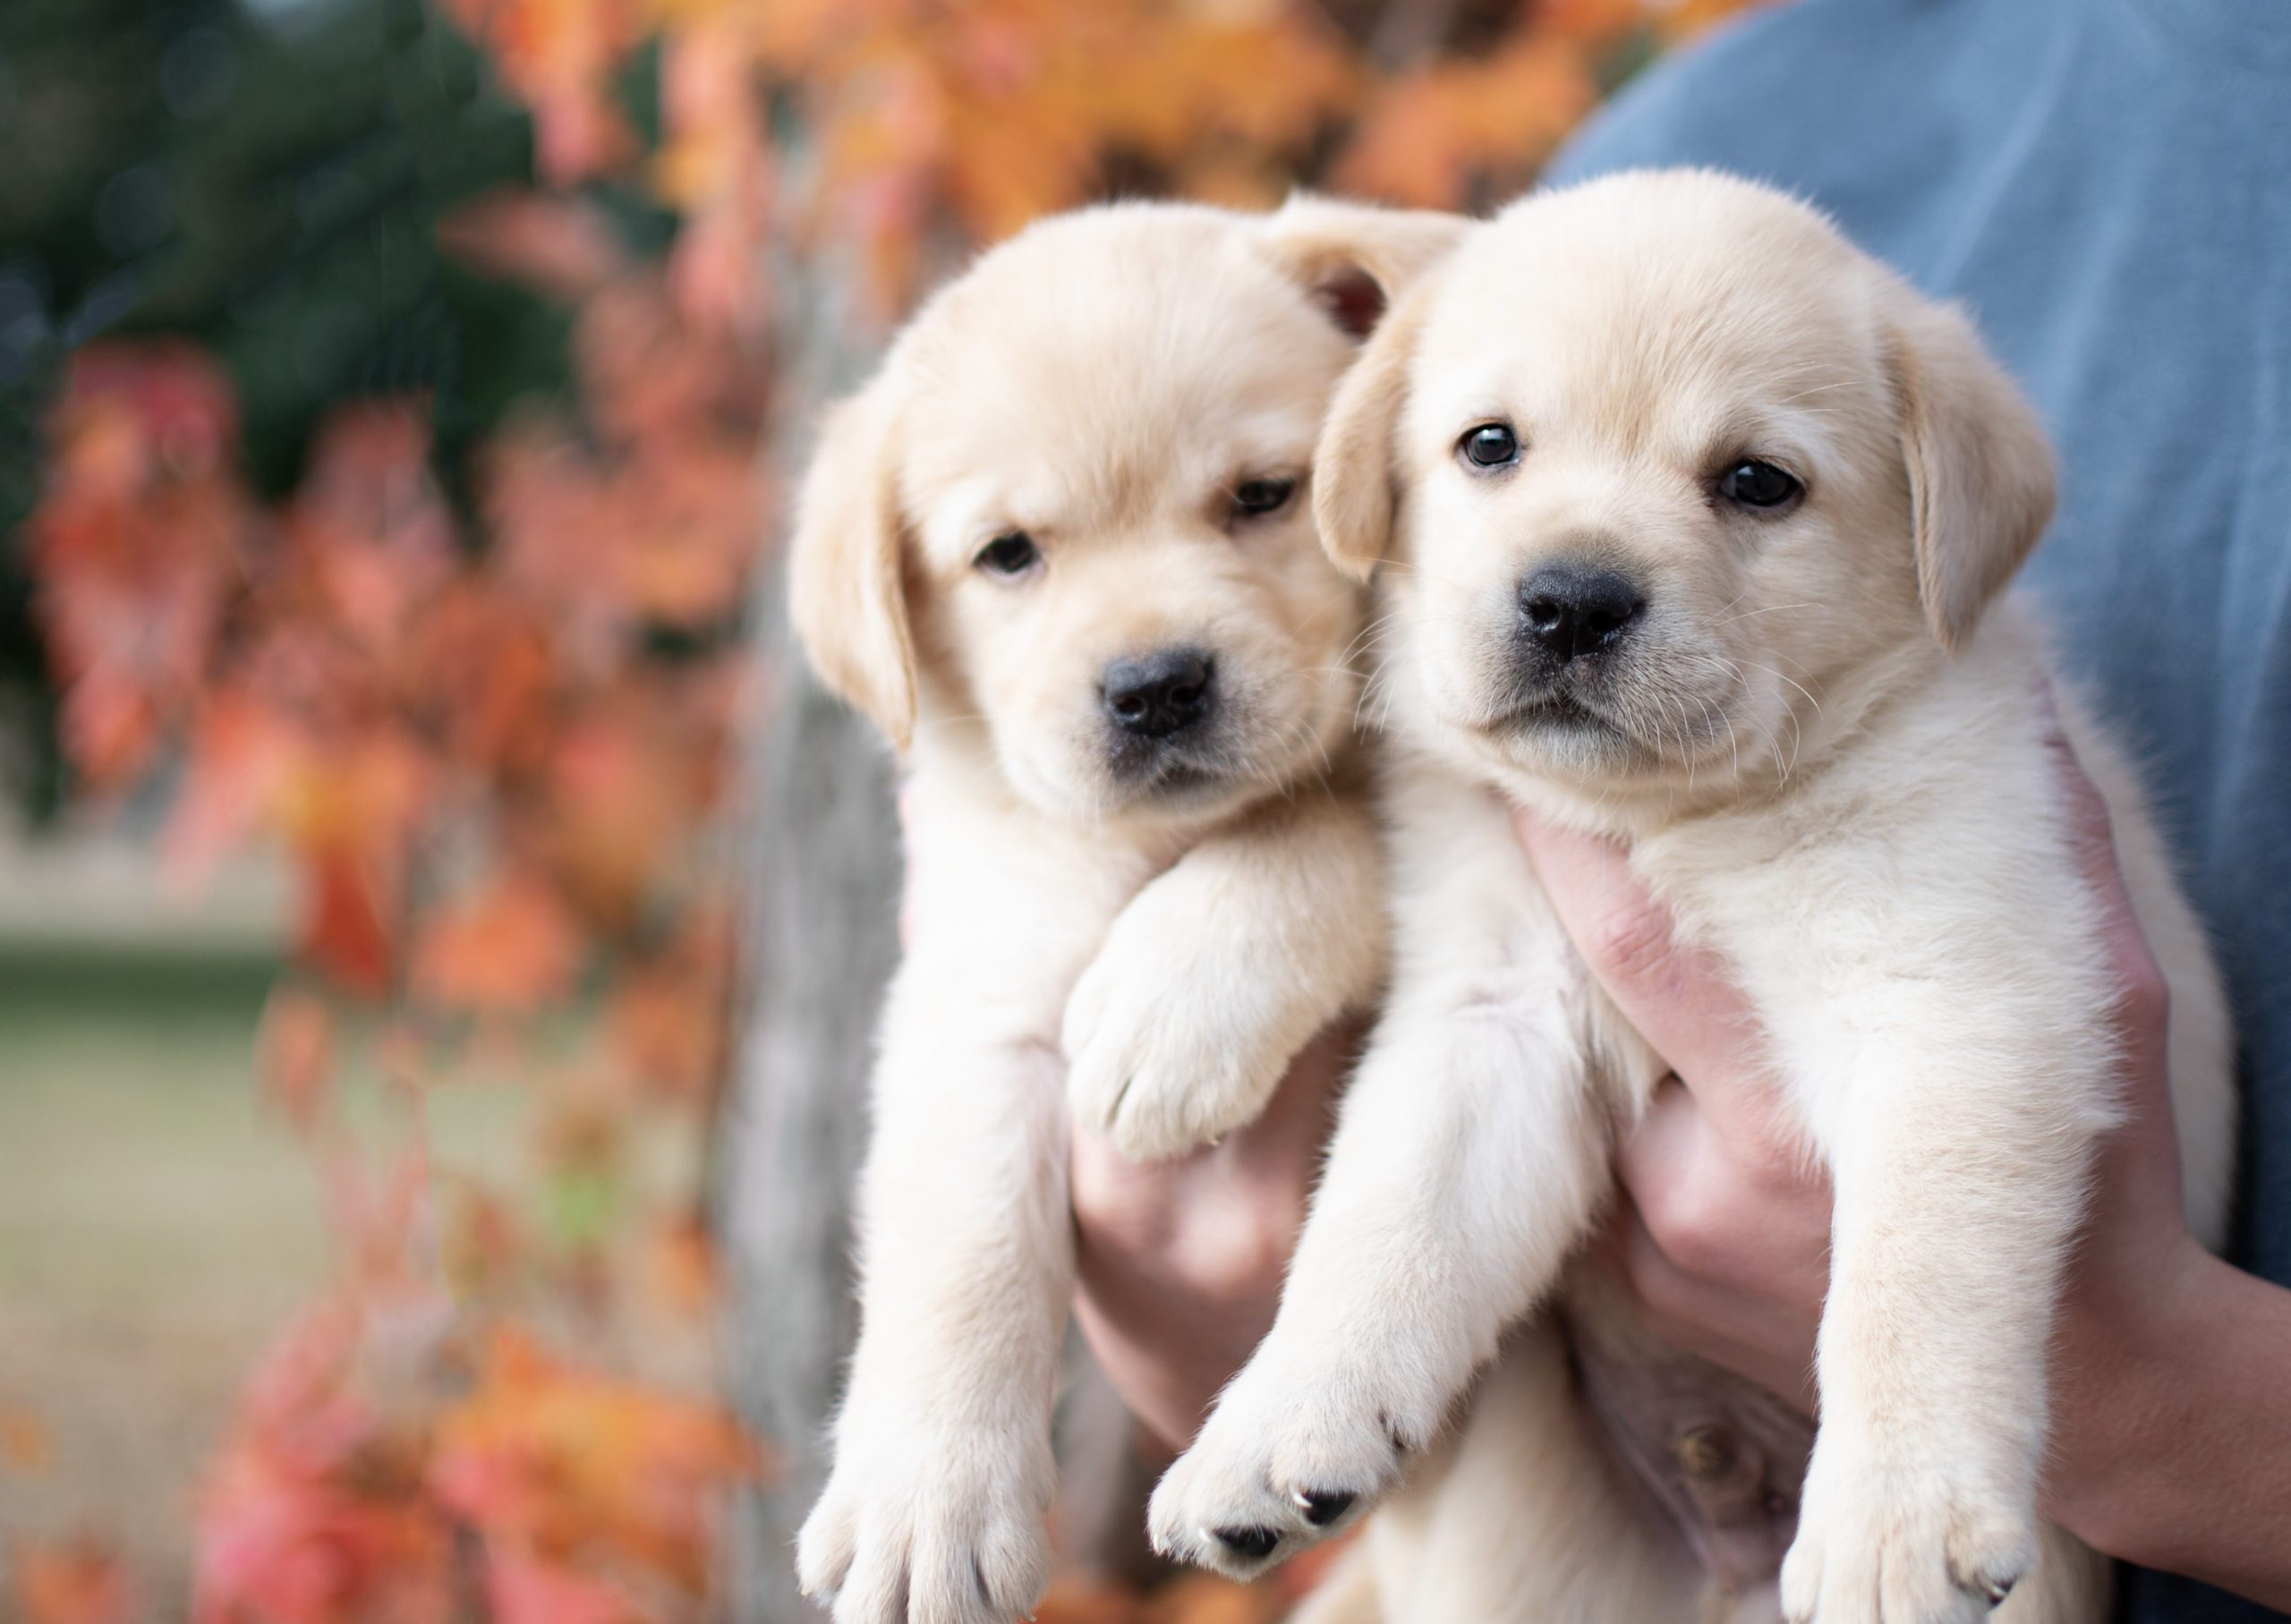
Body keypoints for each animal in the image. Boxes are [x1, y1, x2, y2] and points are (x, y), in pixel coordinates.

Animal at [796, 193, 1457, 1621]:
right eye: (1008, 555)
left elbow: (1317, 824)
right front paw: (925, 1499)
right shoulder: (977, 991)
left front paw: (1173, 1008)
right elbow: (960, 1247)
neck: (1157, 847)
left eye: (1262, 495)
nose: (1155, 686)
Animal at [1146, 168, 2236, 1621]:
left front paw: (1892, 1523)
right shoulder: (1492, 1019)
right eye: (1489, 447)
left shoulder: (1955, 1004)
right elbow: (1383, 1230)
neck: (1681, 824)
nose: (1569, 601)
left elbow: (1908, 1284)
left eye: (1757, 483)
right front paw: (1274, 1428)